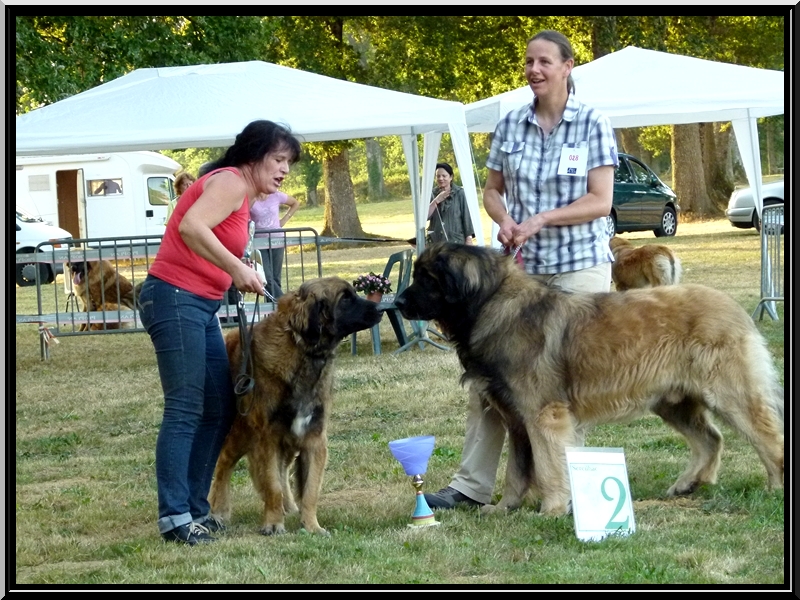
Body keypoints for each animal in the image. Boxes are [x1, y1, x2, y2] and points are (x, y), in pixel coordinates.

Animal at [206, 276, 382, 536]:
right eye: (345, 298)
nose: (381, 309)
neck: (304, 351)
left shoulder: (313, 438)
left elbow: (309, 490)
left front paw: (311, 526)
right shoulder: (268, 437)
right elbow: (272, 484)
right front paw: (273, 523)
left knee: (283, 469)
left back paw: (288, 507)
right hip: (240, 432)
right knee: (224, 464)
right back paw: (218, 509)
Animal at [396, 243, 784, 516]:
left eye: (426, 279)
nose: (397, 302)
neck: (491, 304)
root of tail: (734, 307)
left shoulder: (543, 415)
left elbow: (547, 466)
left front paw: (552, 510)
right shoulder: (516, 420)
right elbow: (516, 472)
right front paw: (505, 508)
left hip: (732, 396)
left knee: (767, 438)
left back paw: (776, 488)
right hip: (673, 402)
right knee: (711, 439)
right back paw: (689, 484)